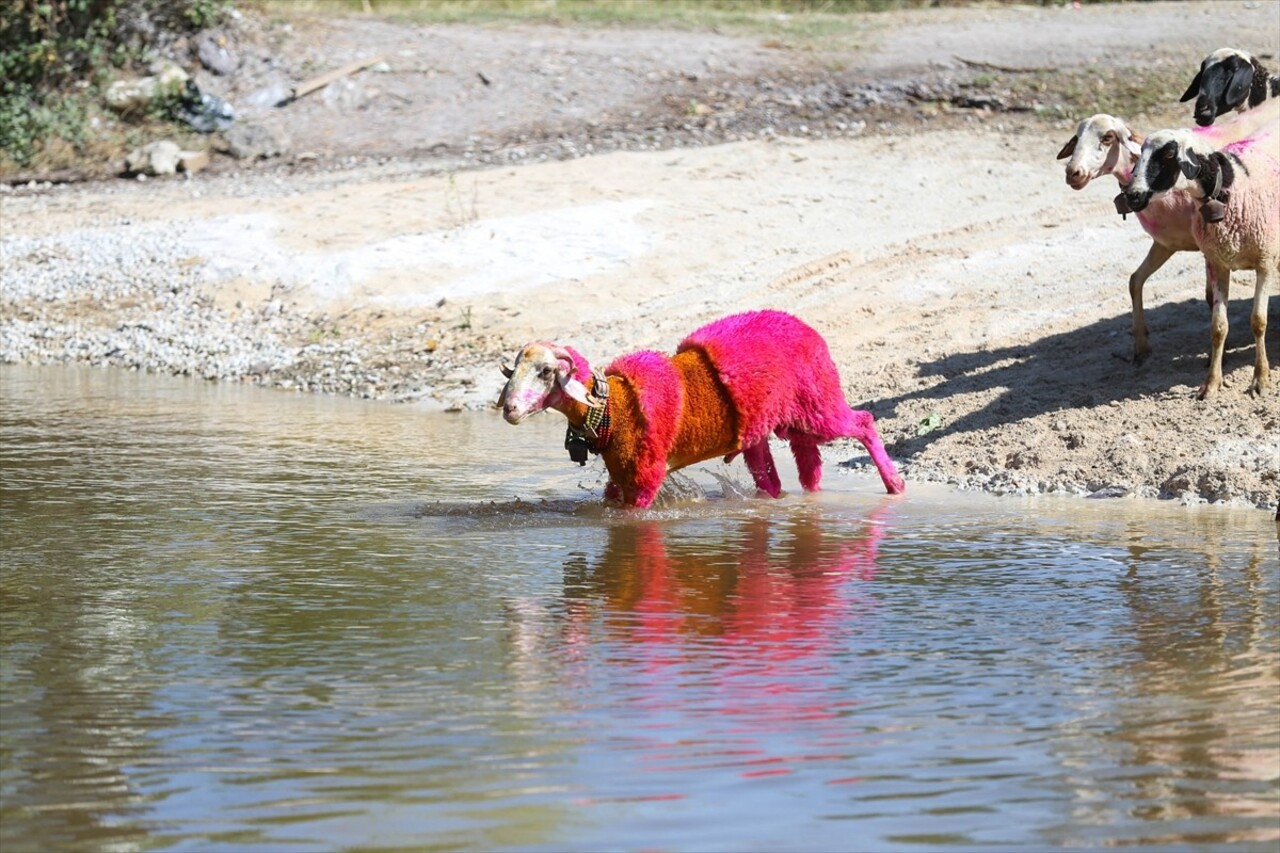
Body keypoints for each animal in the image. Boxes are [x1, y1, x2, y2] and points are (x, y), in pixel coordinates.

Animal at [494, 308, 906, 504]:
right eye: (514, 370)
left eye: (546, 372)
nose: (509, 410)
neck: (614, 407)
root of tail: (805, 327)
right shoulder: (620, 475)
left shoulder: (645, 478)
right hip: (774, 422)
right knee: (791, 472)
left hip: (818, 404)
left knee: (864, 421)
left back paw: (895, 485)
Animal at [1121, 126, 1280, 399]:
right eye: (1140, 152)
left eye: (1168, 154)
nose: (1132, 196)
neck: (1232, 184)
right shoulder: (1219, 263)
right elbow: (1218, 327)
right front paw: (1211, 384)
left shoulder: (1265, 261)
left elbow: (1258, 321)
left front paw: (1260, 379)